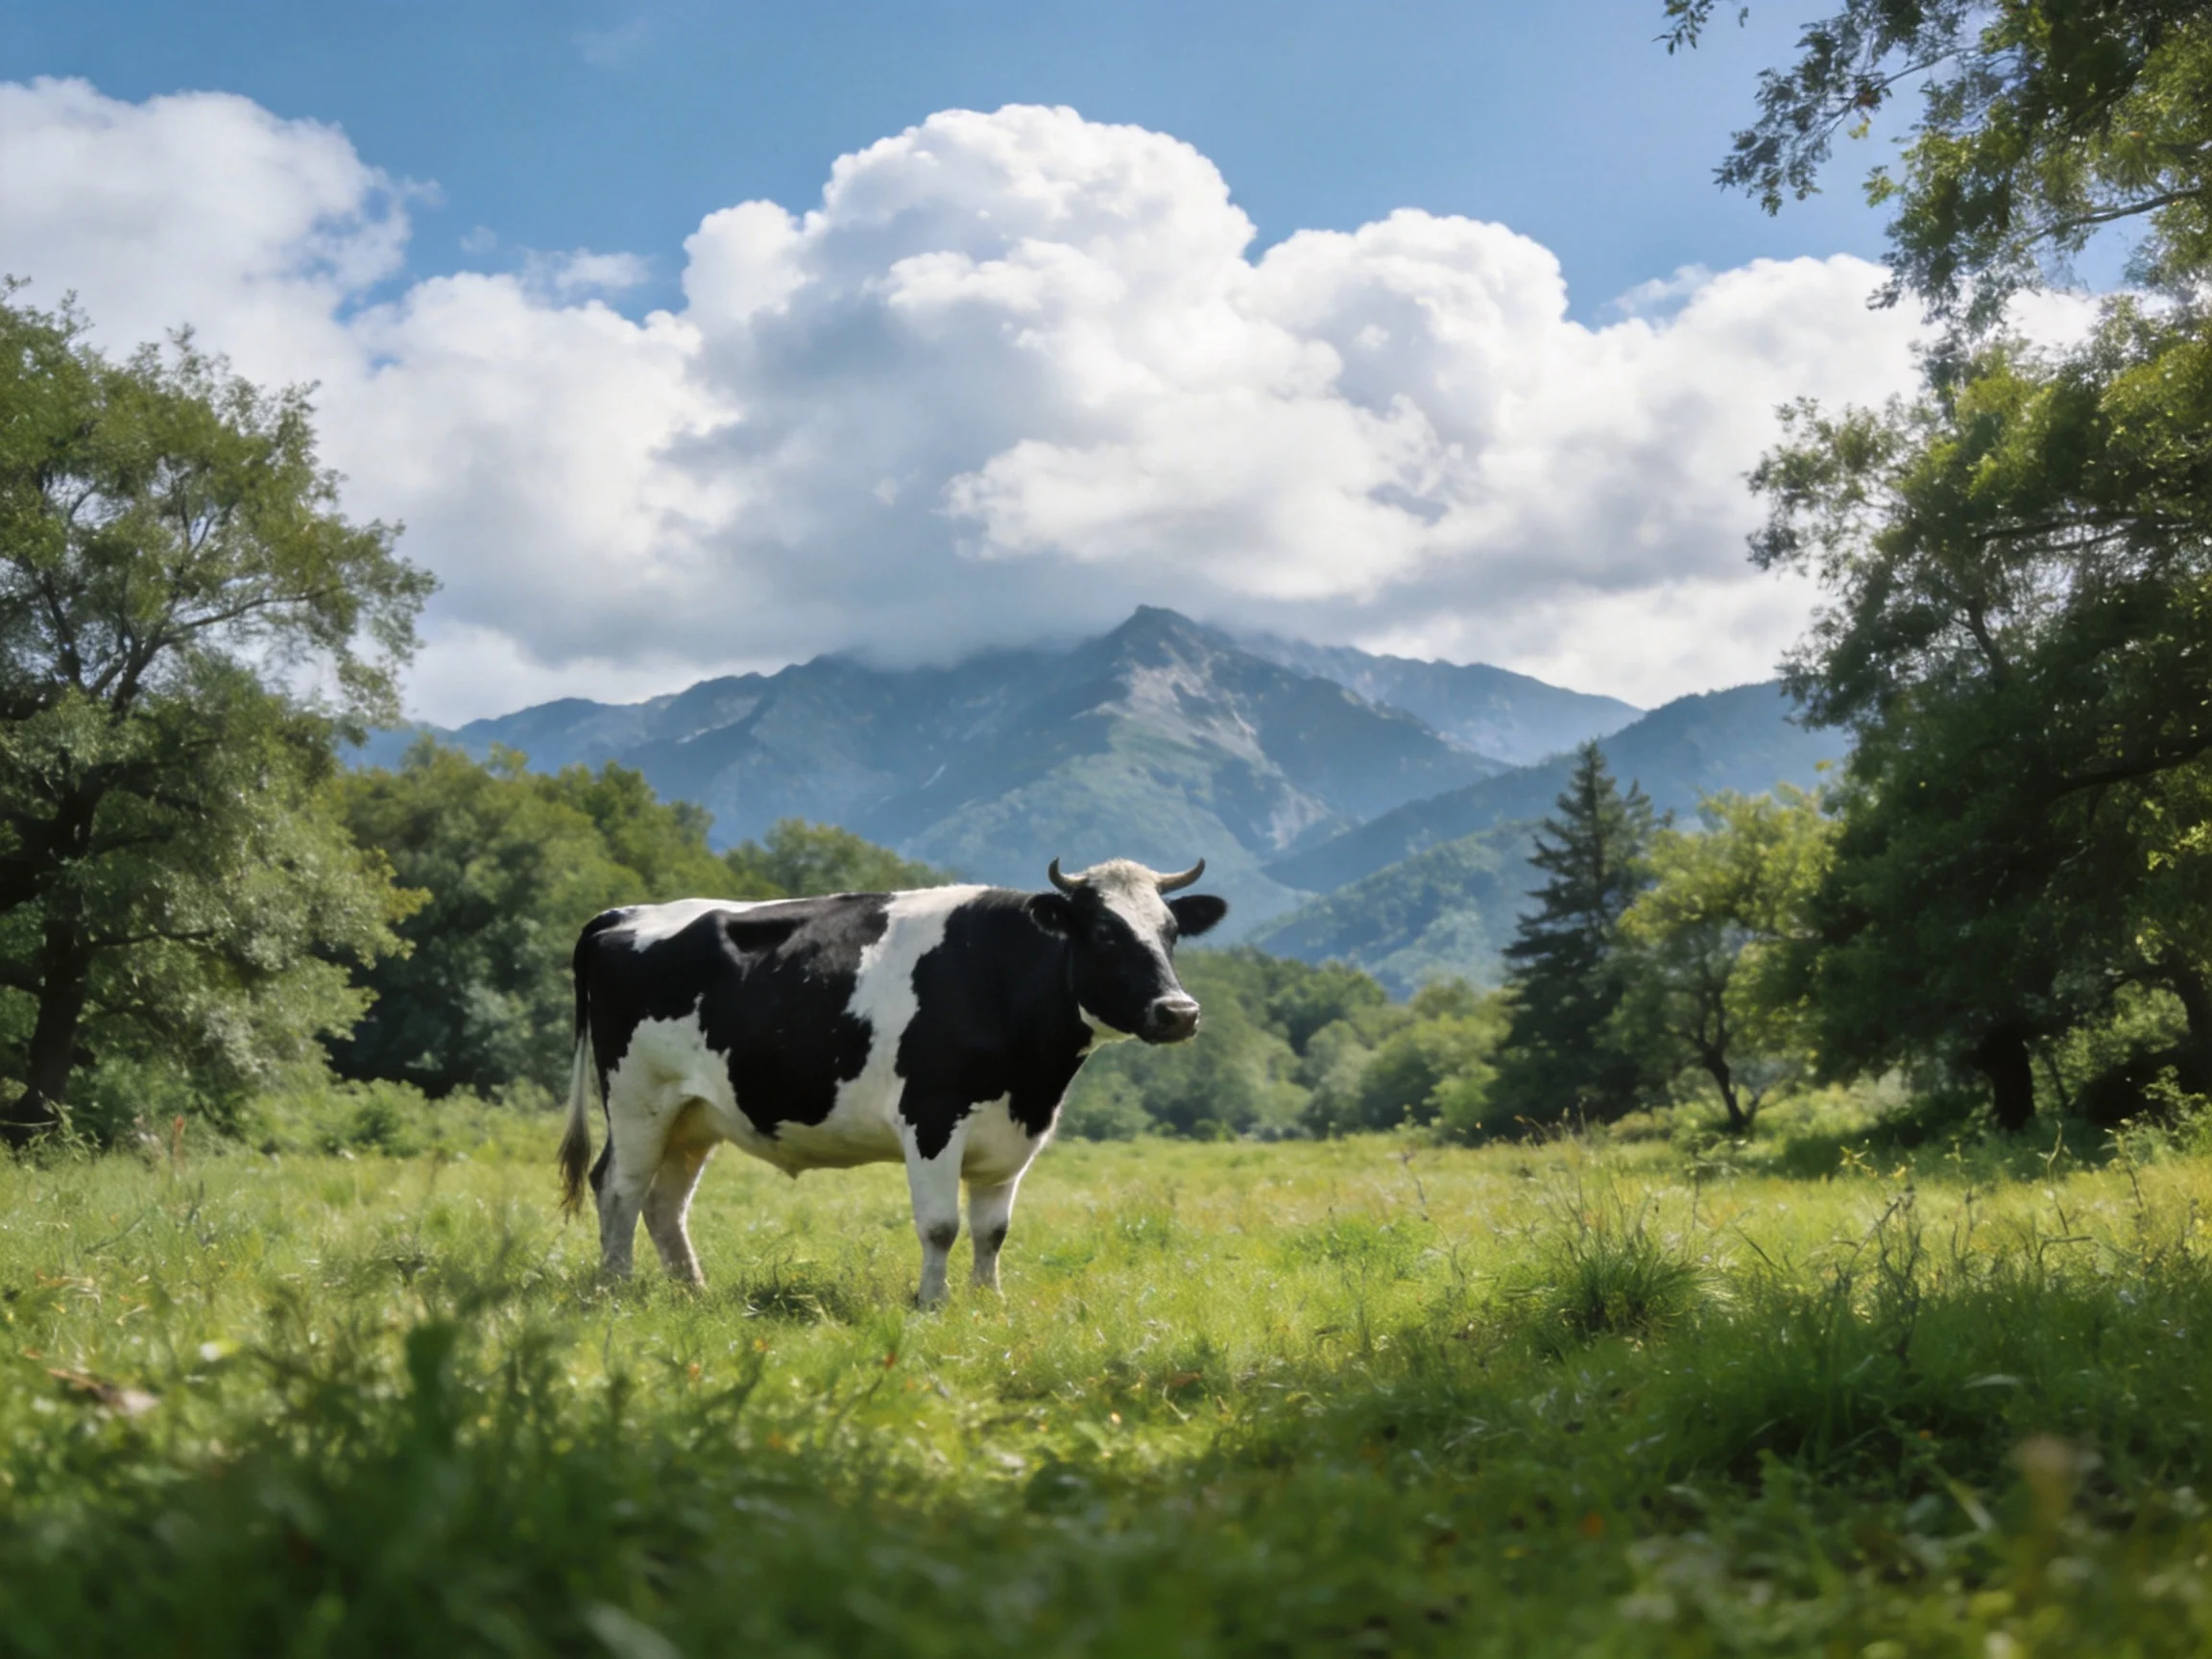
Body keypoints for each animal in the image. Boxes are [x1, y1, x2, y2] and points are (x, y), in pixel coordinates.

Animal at [556, 857, 1228, 1306]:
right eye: (1107, 932)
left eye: (1171, 932)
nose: (1179, 1012)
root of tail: (625, 913)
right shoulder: (932, 1119)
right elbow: (941, 1226)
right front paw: (933, 1304)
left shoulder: (1013, 1136)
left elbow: (993, 1231)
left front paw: (989, 1303)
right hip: (638, 1098)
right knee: (618, 1186)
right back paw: (614, 1287)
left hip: (694, 1114)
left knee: (664, 1201)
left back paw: (692, 1291)